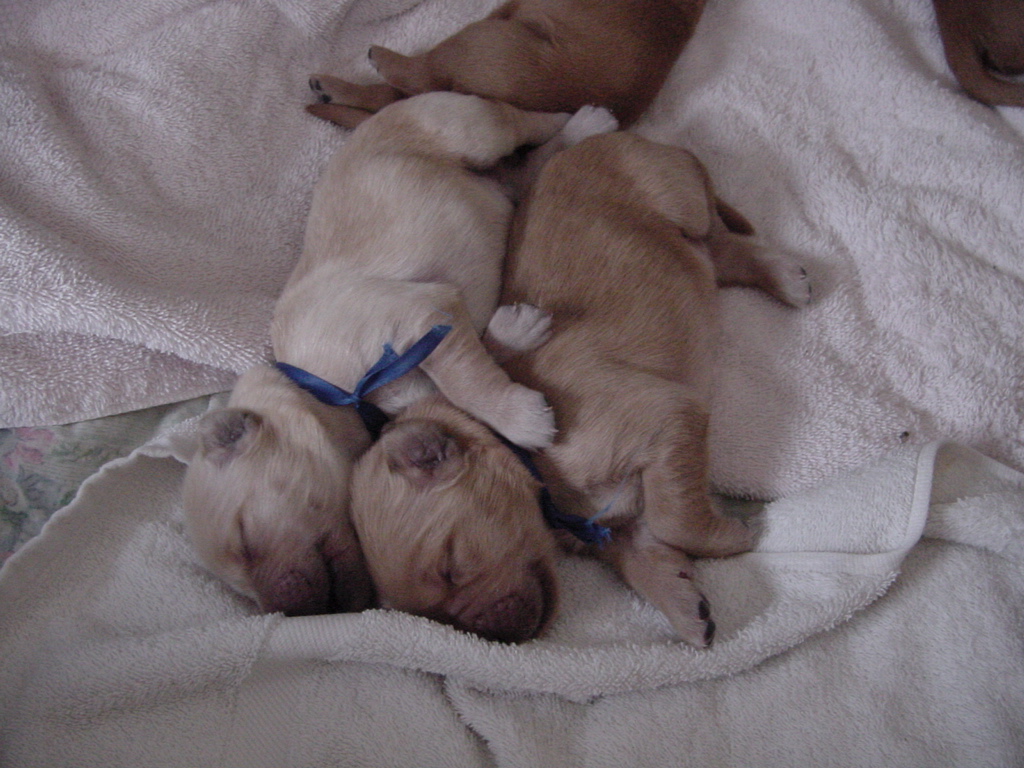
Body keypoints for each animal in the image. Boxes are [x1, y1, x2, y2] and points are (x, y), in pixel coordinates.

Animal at [184, 91, 573, 618]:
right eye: (240, 589)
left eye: (244, 540)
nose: (286, 612)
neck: (326, 390)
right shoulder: (437, 318)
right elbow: (474, 359)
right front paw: (516, 329)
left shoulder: (417, 318)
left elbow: (466, 382)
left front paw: (524, 420)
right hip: (489, 170)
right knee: (523, 171)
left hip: (468, 125)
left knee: (524, 122)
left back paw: (587, 118)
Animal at [352, 134, 815, 651]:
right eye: (433, 616)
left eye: (451, 567)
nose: (501, 638)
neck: (539, 470)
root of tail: (621, 137)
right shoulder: (619, 528)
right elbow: (647, 556)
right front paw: (687, 608)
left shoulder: (667, 417)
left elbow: (676, 518)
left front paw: (737, 535)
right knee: (714, 254)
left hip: (679, 198)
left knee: (719, 230)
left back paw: (784, 277)